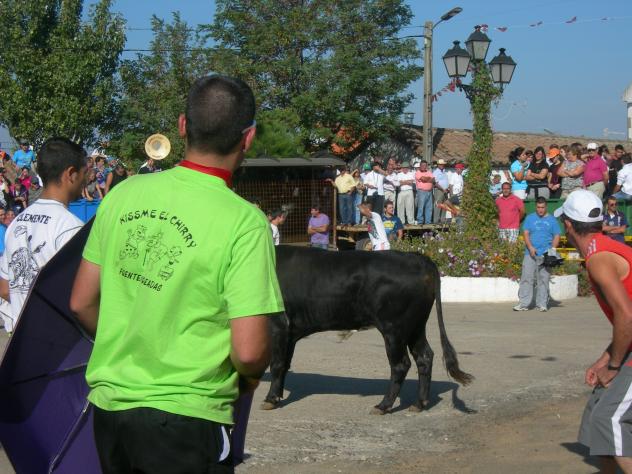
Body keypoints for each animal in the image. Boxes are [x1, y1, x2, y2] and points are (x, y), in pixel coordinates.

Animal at [262, 246, 474, 414]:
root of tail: (417, 258)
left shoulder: (278, 325)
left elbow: (277, 364)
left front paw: (270, 399)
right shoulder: (291, 333)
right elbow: (285, 364)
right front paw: (277, 396)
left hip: (394, 329)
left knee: (400, 364)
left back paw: (383, 406)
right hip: (415, 326)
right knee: (424, 356)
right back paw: (418, 404)